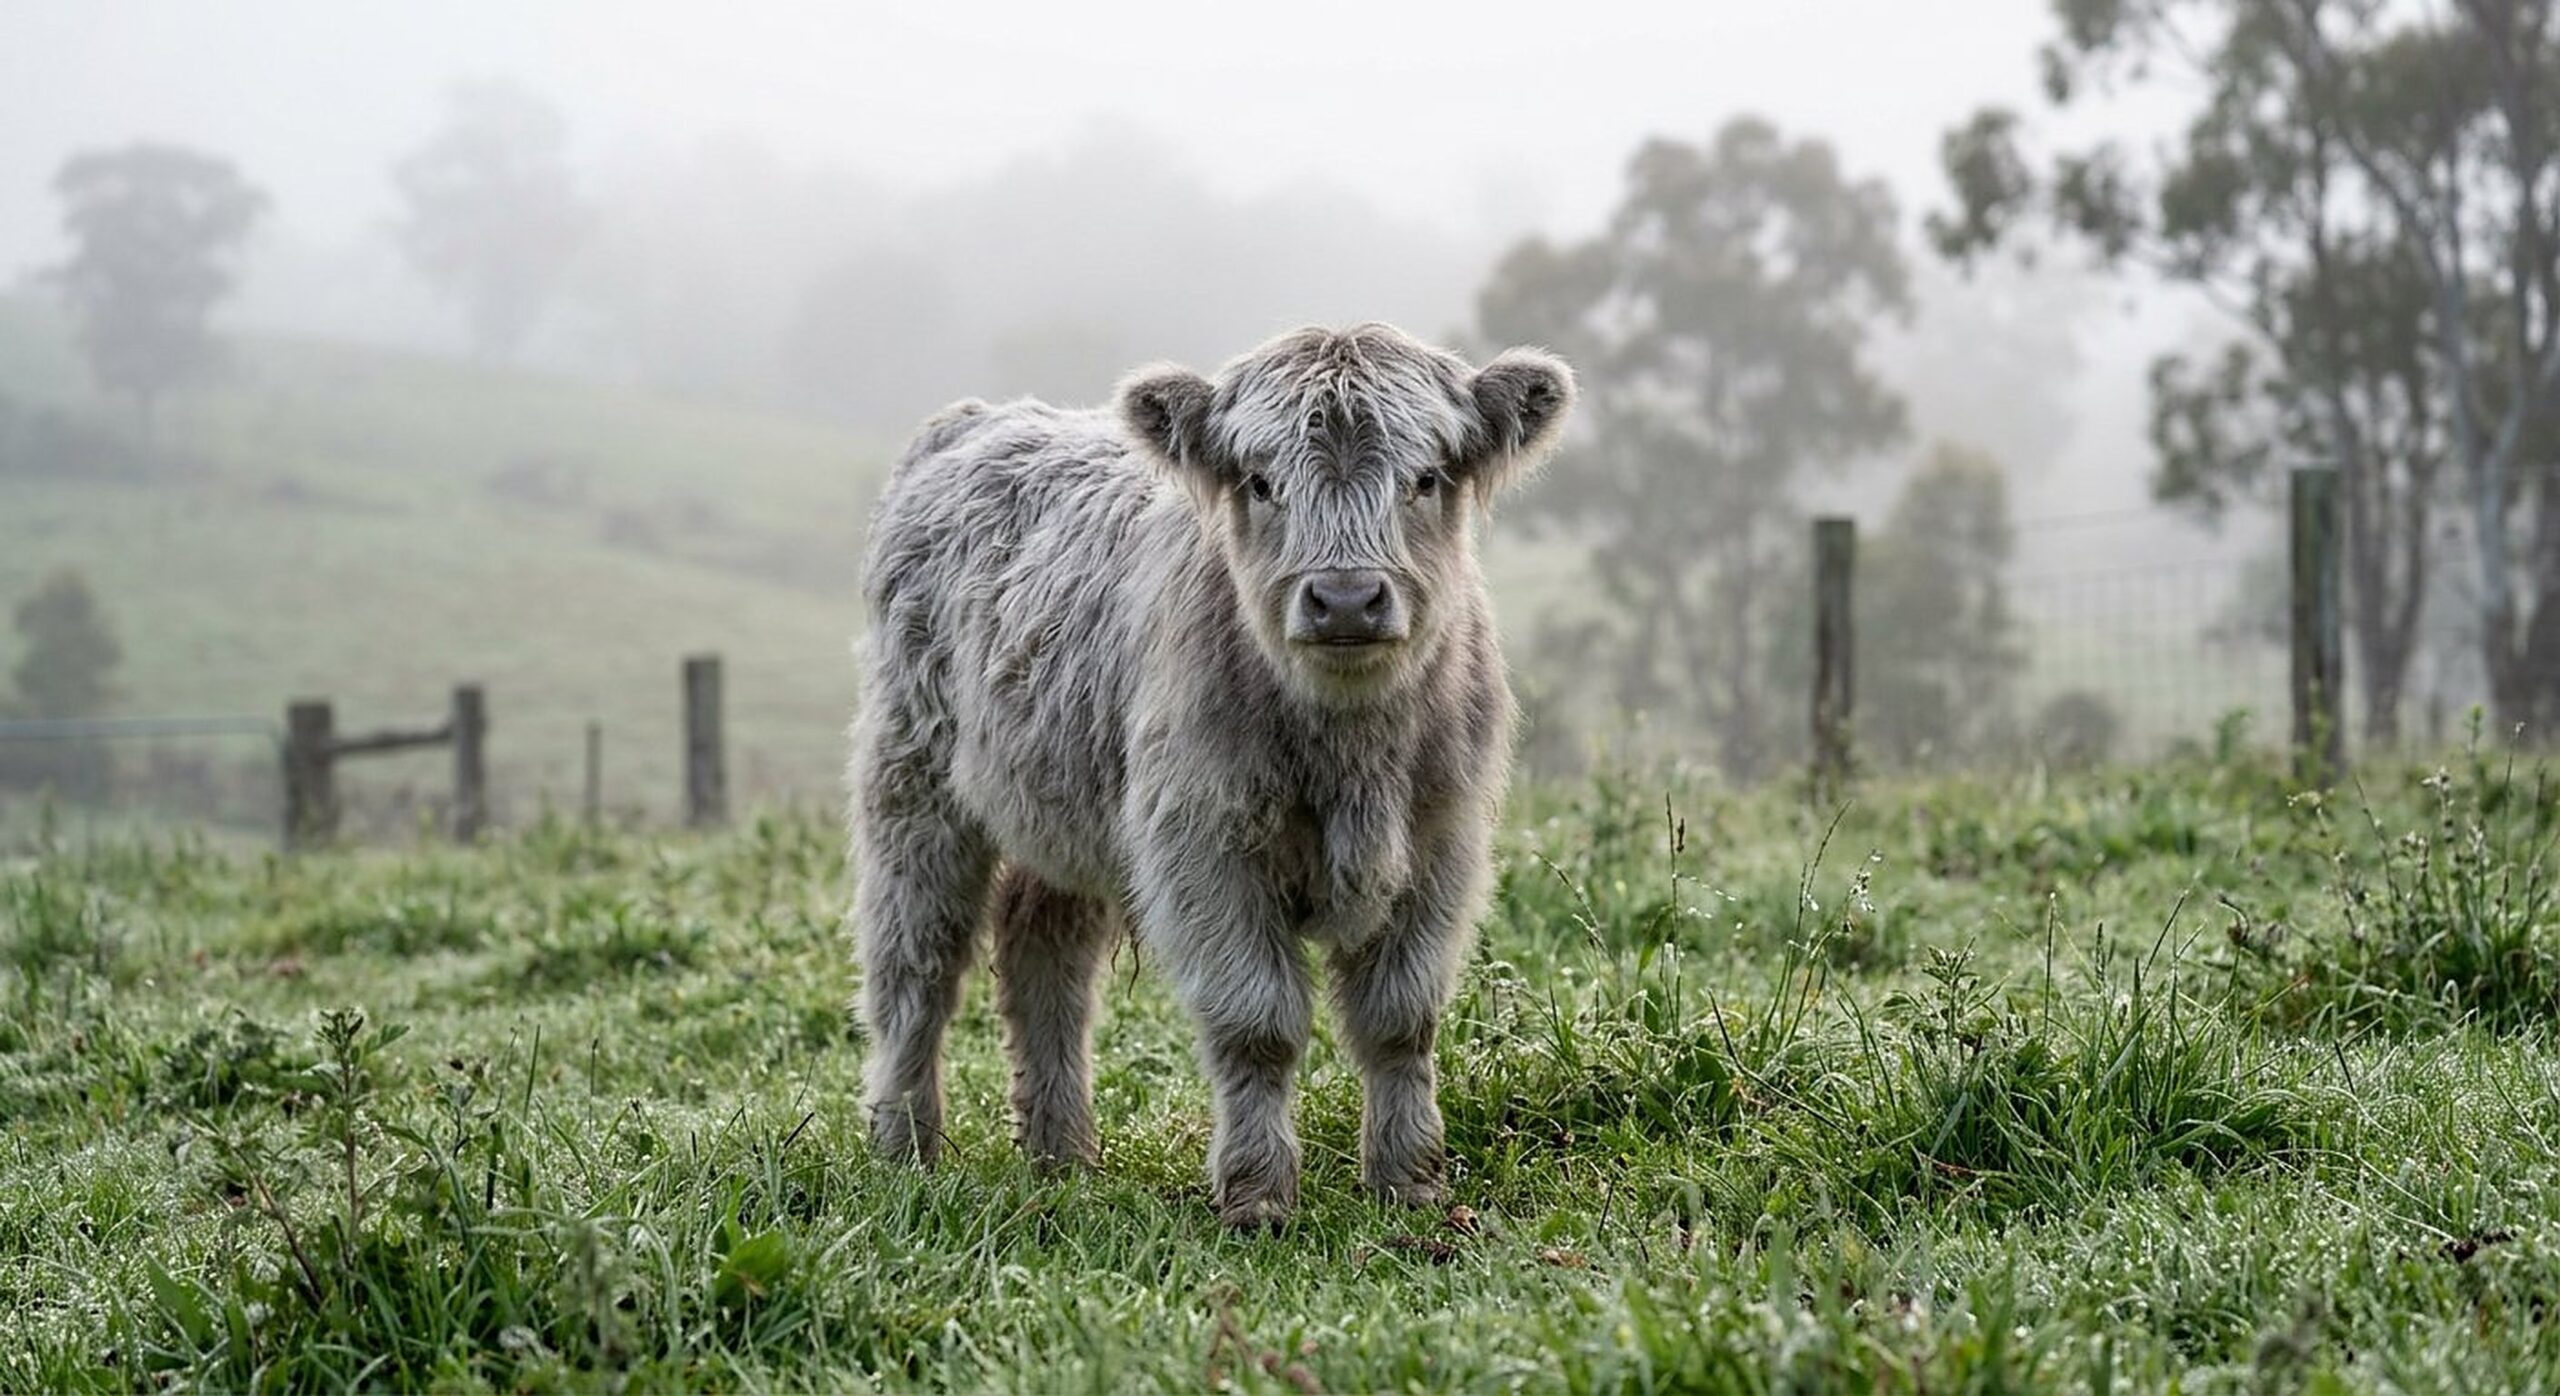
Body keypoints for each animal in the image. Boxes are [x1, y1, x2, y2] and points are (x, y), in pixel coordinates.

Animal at [849, 322, 1573, 1227]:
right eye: (1261, 482)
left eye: (1426, 478)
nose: (1344, 599)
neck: (1350, 754)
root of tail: (978, 419)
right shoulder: (1205, 850)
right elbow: (1255, 1024)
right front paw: (1258, 1196)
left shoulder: (1442, 849)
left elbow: (1400, 1021)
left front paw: (1408, 1185)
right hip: (912, 784)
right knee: (915, 966)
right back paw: (904, 1147)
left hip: (1062, 814)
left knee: (1044, 958)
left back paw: (1062, 1155)